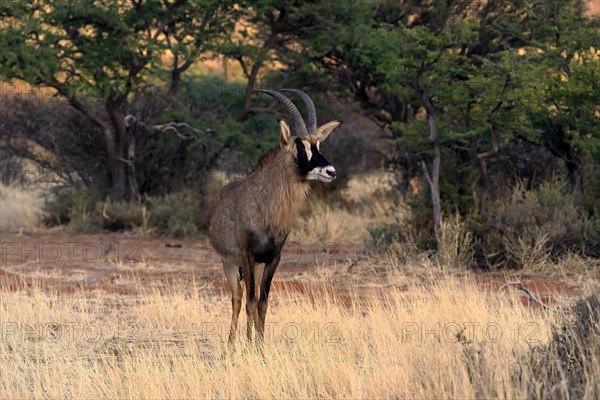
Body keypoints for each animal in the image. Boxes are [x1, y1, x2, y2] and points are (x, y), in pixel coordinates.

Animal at [209, 89, 342, 346]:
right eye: (300, 146)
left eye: (318, 144)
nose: (330, 171)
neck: (266, 208)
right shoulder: (247, 256)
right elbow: (250, 302)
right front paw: (249, 345)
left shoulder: (272, 259)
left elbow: (263, 302)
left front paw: (260, 346)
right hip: (229, 262)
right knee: (237, 298)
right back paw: (231, 344)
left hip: (255, 266)